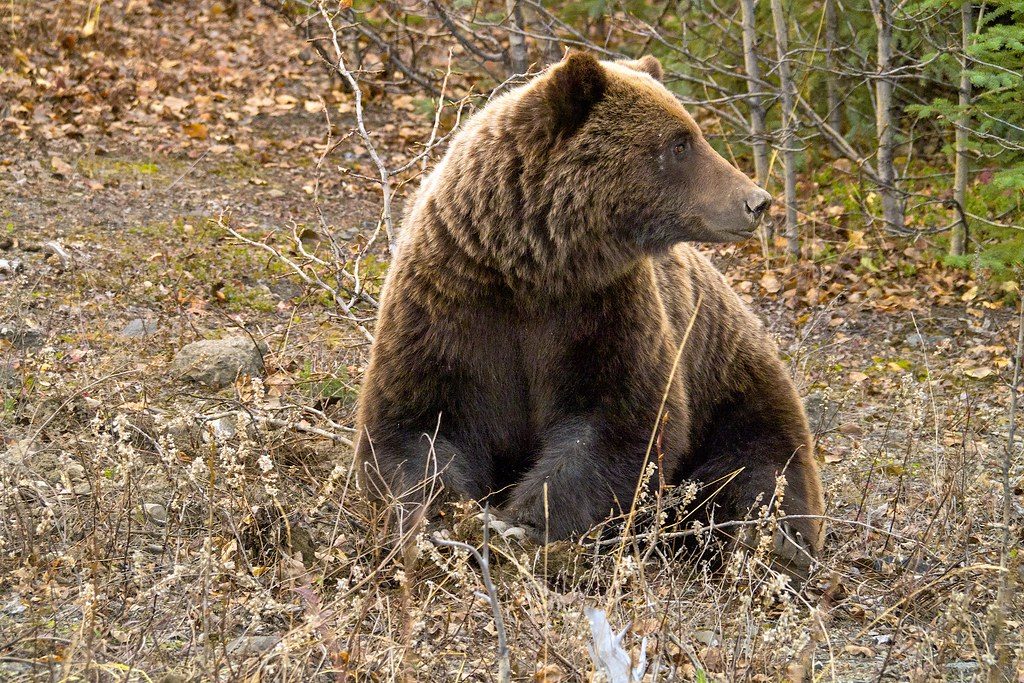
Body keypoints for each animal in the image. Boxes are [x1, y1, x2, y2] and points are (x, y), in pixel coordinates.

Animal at [355, 52, 825, 571]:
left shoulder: (602, 311)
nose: (756, 201)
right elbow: (416, 423)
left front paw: (523, 524)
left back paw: (769, 543)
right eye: (680, 143)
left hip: (733, 383)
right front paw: (443, 519)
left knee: (762, 468)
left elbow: (619, 423)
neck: (533, 265)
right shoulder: (450, 302)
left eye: (691, 133)